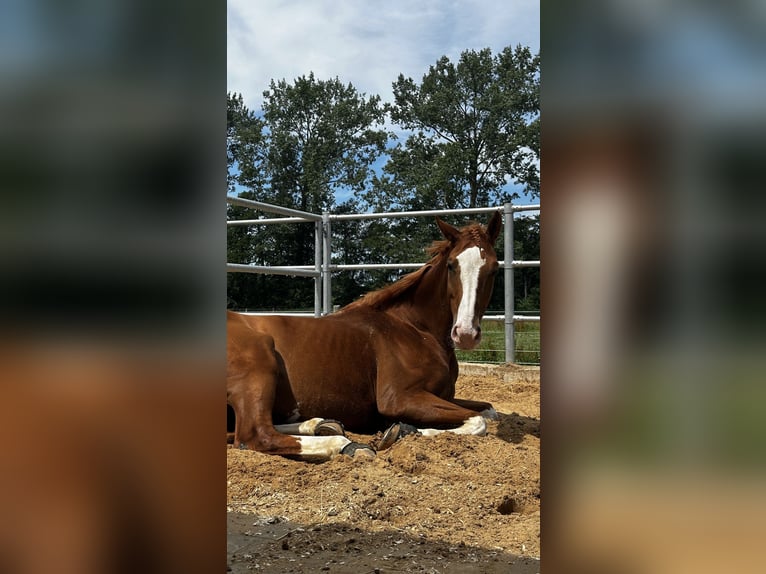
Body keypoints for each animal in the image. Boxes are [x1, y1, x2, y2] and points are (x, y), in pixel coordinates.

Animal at [227, 211, 503, 460]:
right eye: (451, 266)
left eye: (494, 269)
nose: (465, 333)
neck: (415, 329)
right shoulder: (399, 398)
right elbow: (479, 420)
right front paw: (402, 431)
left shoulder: (445, 397)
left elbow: (489, 410)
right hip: (259, 364)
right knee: (254, 435)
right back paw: (347, 445)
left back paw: (321, 424)